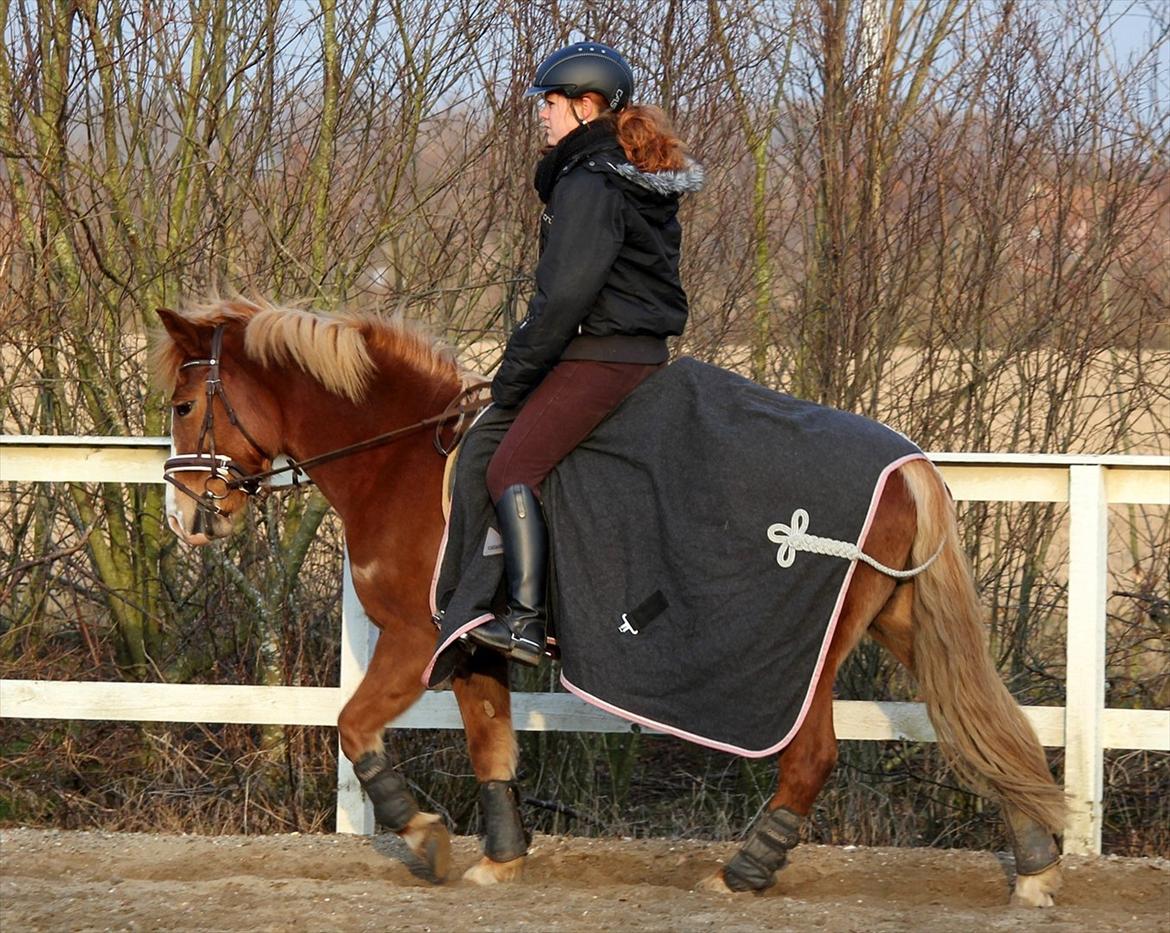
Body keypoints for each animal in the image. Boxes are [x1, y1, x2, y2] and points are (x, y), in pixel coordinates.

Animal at [150, 298, 1067, 903]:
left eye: (186, 404)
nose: (185, 516)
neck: (405, 459)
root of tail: (907, 464)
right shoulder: (472, 645)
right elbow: (493, 748)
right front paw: (501, 855)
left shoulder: (419, 638)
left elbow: (352, 726)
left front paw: (424, 833)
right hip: (899, 618)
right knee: (981, 720)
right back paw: (1034, 856)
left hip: (807, 651)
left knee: (813, 756)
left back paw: (744, 871)